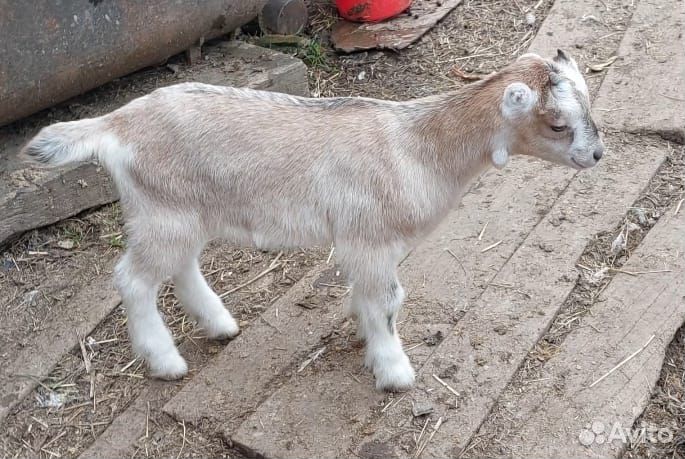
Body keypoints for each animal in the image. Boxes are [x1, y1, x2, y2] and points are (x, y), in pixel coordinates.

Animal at [21, 50, 604, 391]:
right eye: (557, 124)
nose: (597, 155)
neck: (419, 148)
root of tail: (116, 123)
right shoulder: (370, 240)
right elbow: (388, 302)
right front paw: (394, 372)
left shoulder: (367, 246)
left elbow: (371, 299)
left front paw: (367, 339)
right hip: (163, 212)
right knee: (133, 280)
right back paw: (165, 361)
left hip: (182, 211)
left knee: (181, 268)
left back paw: (220, 324)